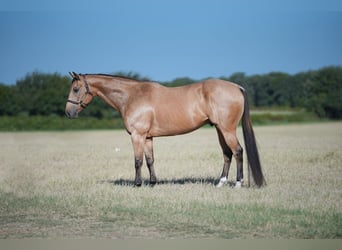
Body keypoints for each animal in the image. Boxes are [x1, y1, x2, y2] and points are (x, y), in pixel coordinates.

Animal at [65, 72, 266, 188]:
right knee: (227, 153)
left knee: (237, 151)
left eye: (75, 89)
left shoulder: (137, 136)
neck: (132, 96)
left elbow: (137, 161)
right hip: (219, 129)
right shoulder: (147, 137)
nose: (68, 113)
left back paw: (238, 183)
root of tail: (237, 87)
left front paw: (137, 184)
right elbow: (150, 160)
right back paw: (220, 182)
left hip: (227, 129)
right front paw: (153, 183)